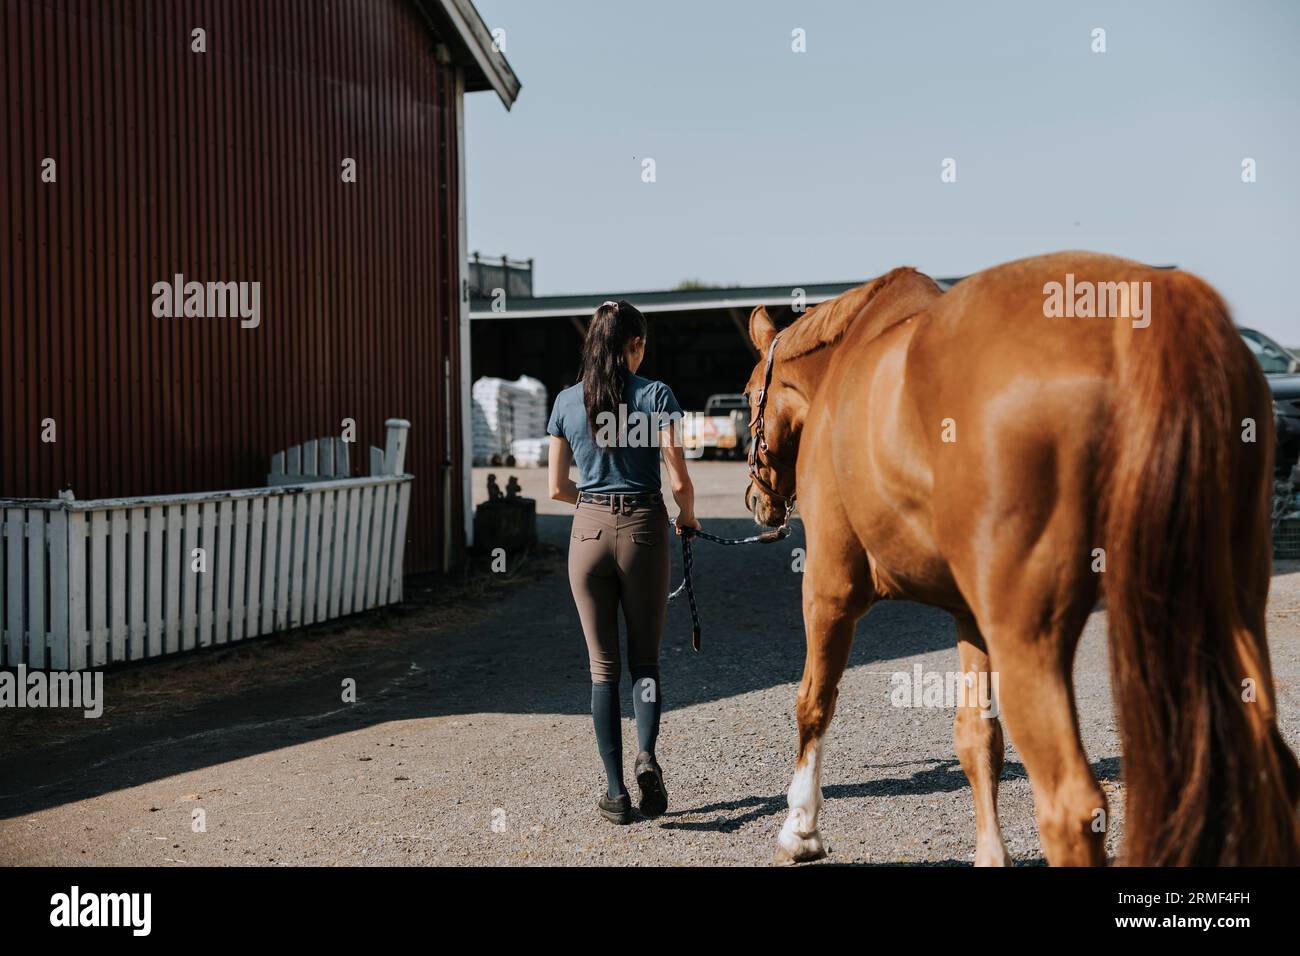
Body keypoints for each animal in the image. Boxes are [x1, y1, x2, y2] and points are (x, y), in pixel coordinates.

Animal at [743, 252, 1300, 868]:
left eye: (747, 395)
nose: (756, 502)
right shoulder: (970, 615)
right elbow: (977, 738)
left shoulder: (830, 587)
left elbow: (813, 701)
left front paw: (801, 828)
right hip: (1234, 608)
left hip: (1030, 638)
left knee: (1071, 807)